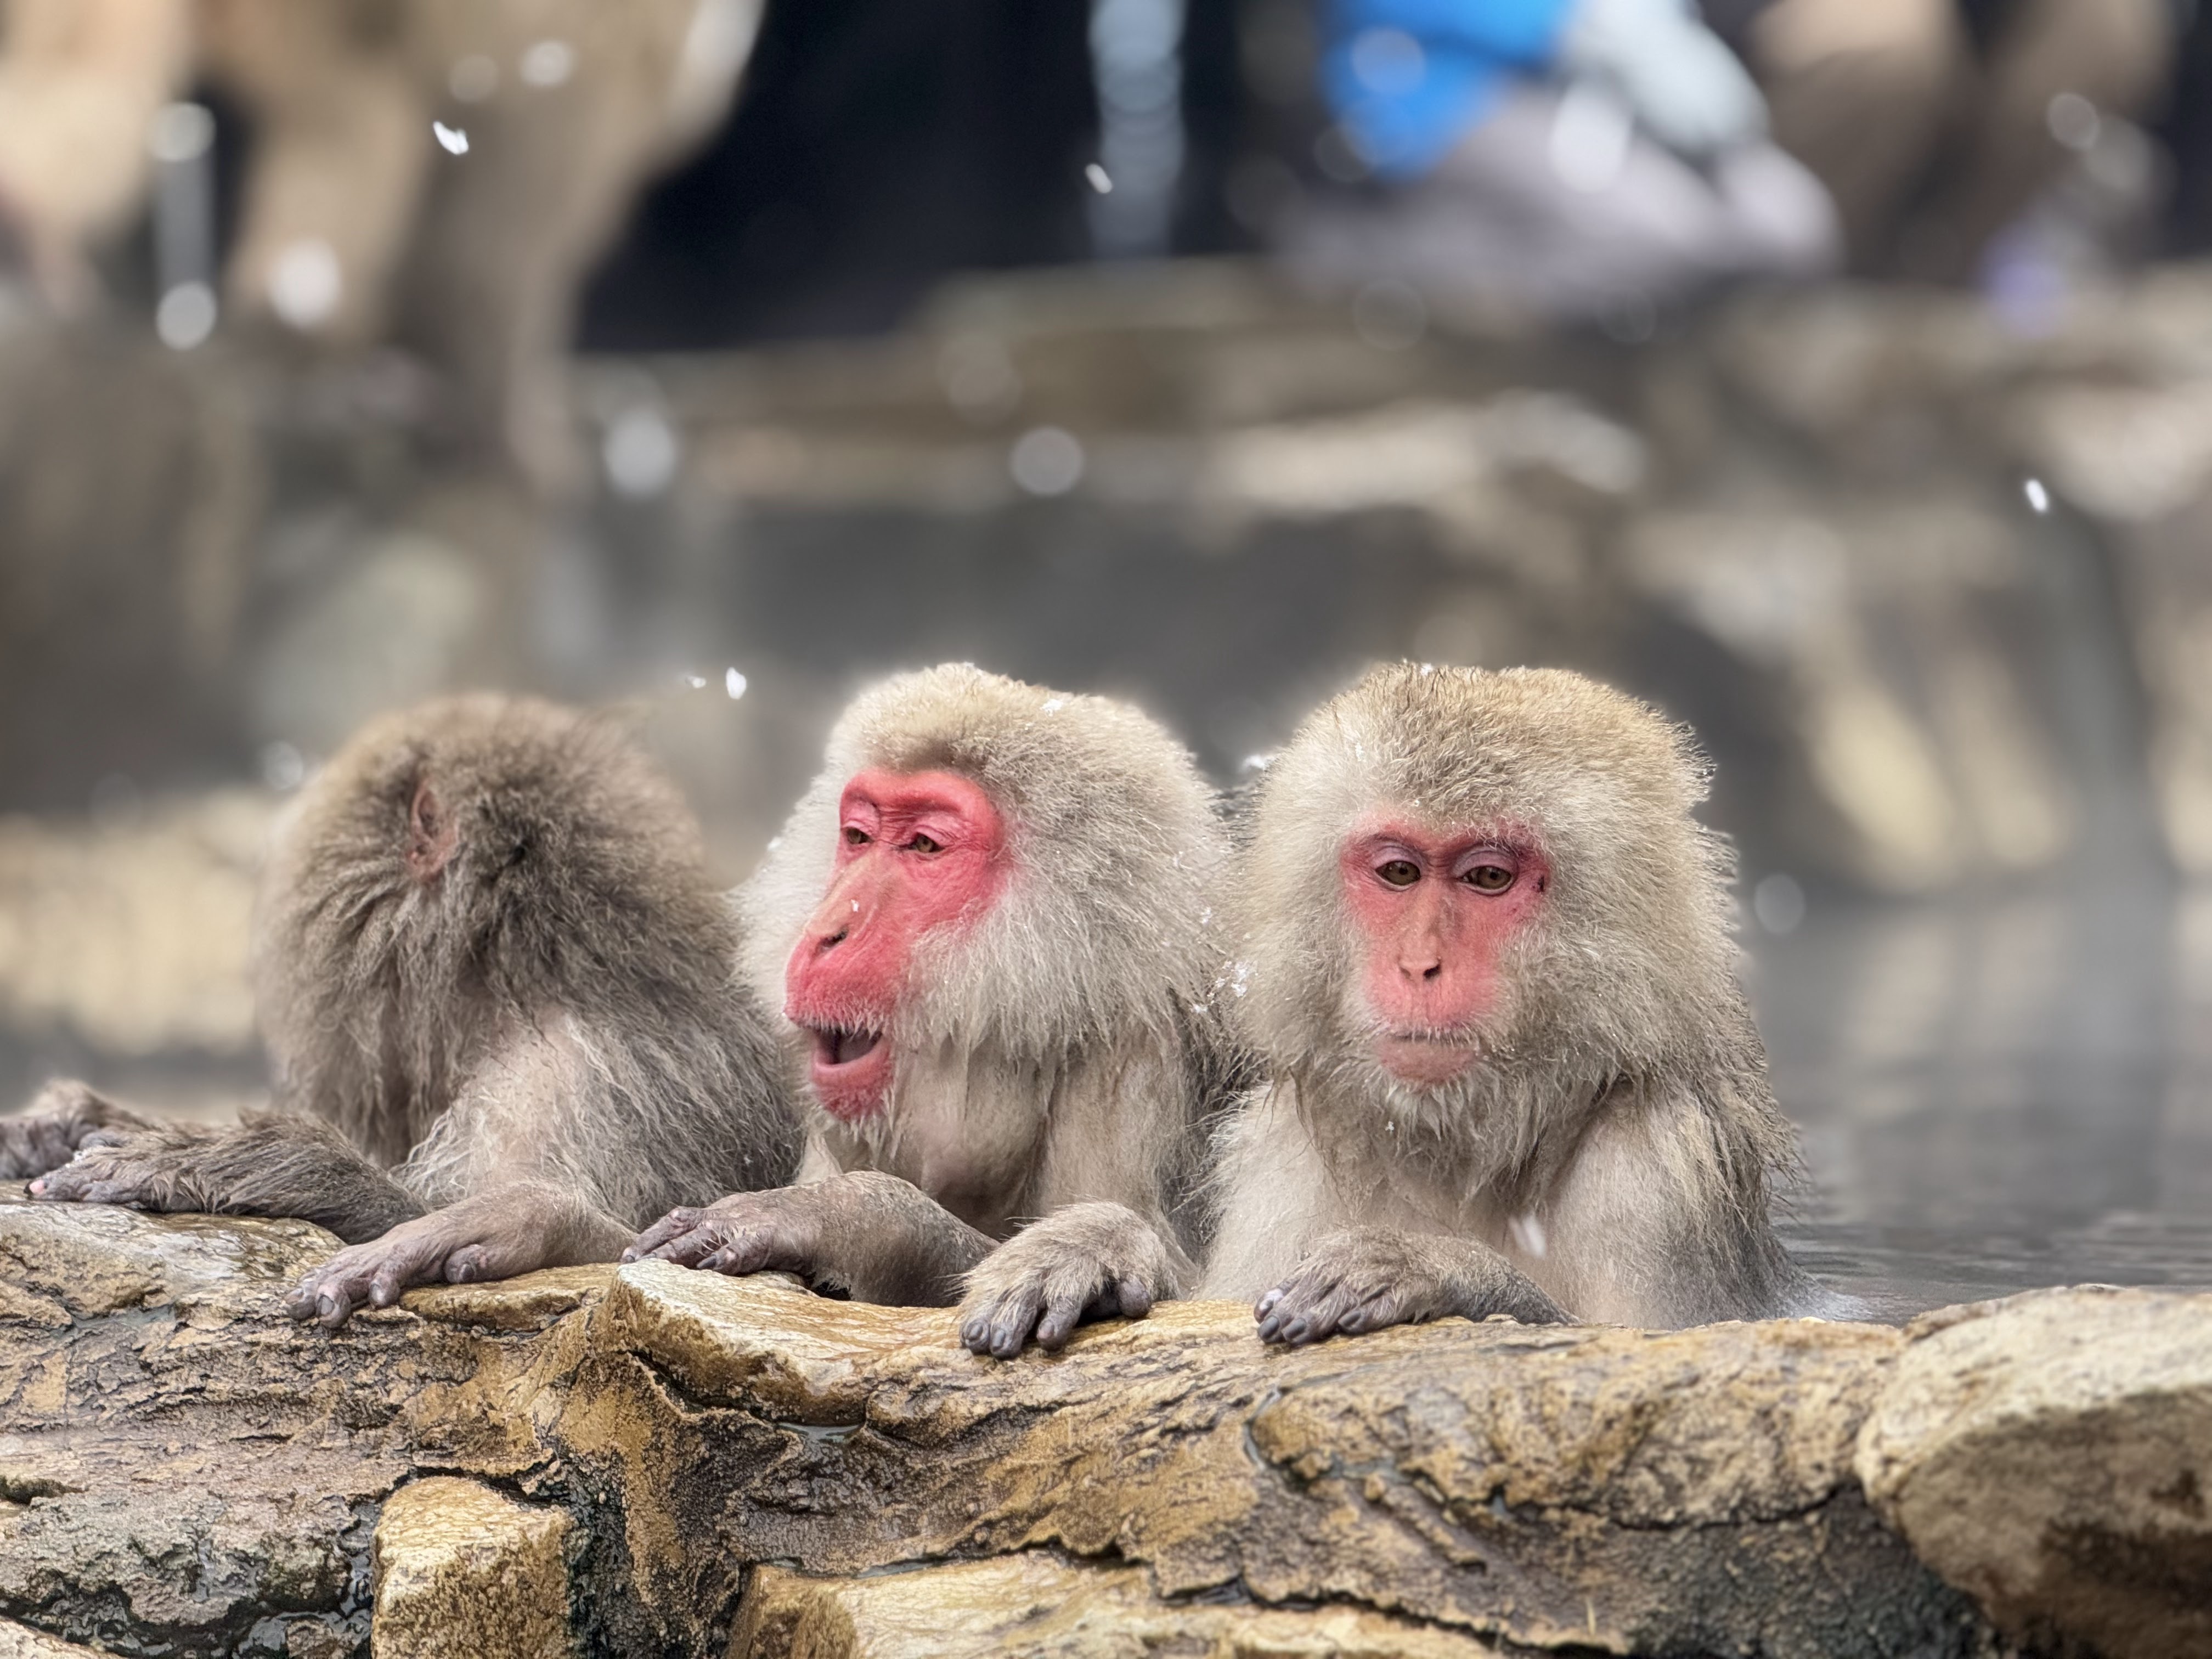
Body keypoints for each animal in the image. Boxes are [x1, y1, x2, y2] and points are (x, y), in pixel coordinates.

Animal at [1201, 663, 1831, 1343]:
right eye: (1400, 873)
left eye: (1488, 878)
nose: (1419, 965)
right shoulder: (1278, 1166)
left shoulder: (1655, 1172)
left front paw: (1433, 1265)